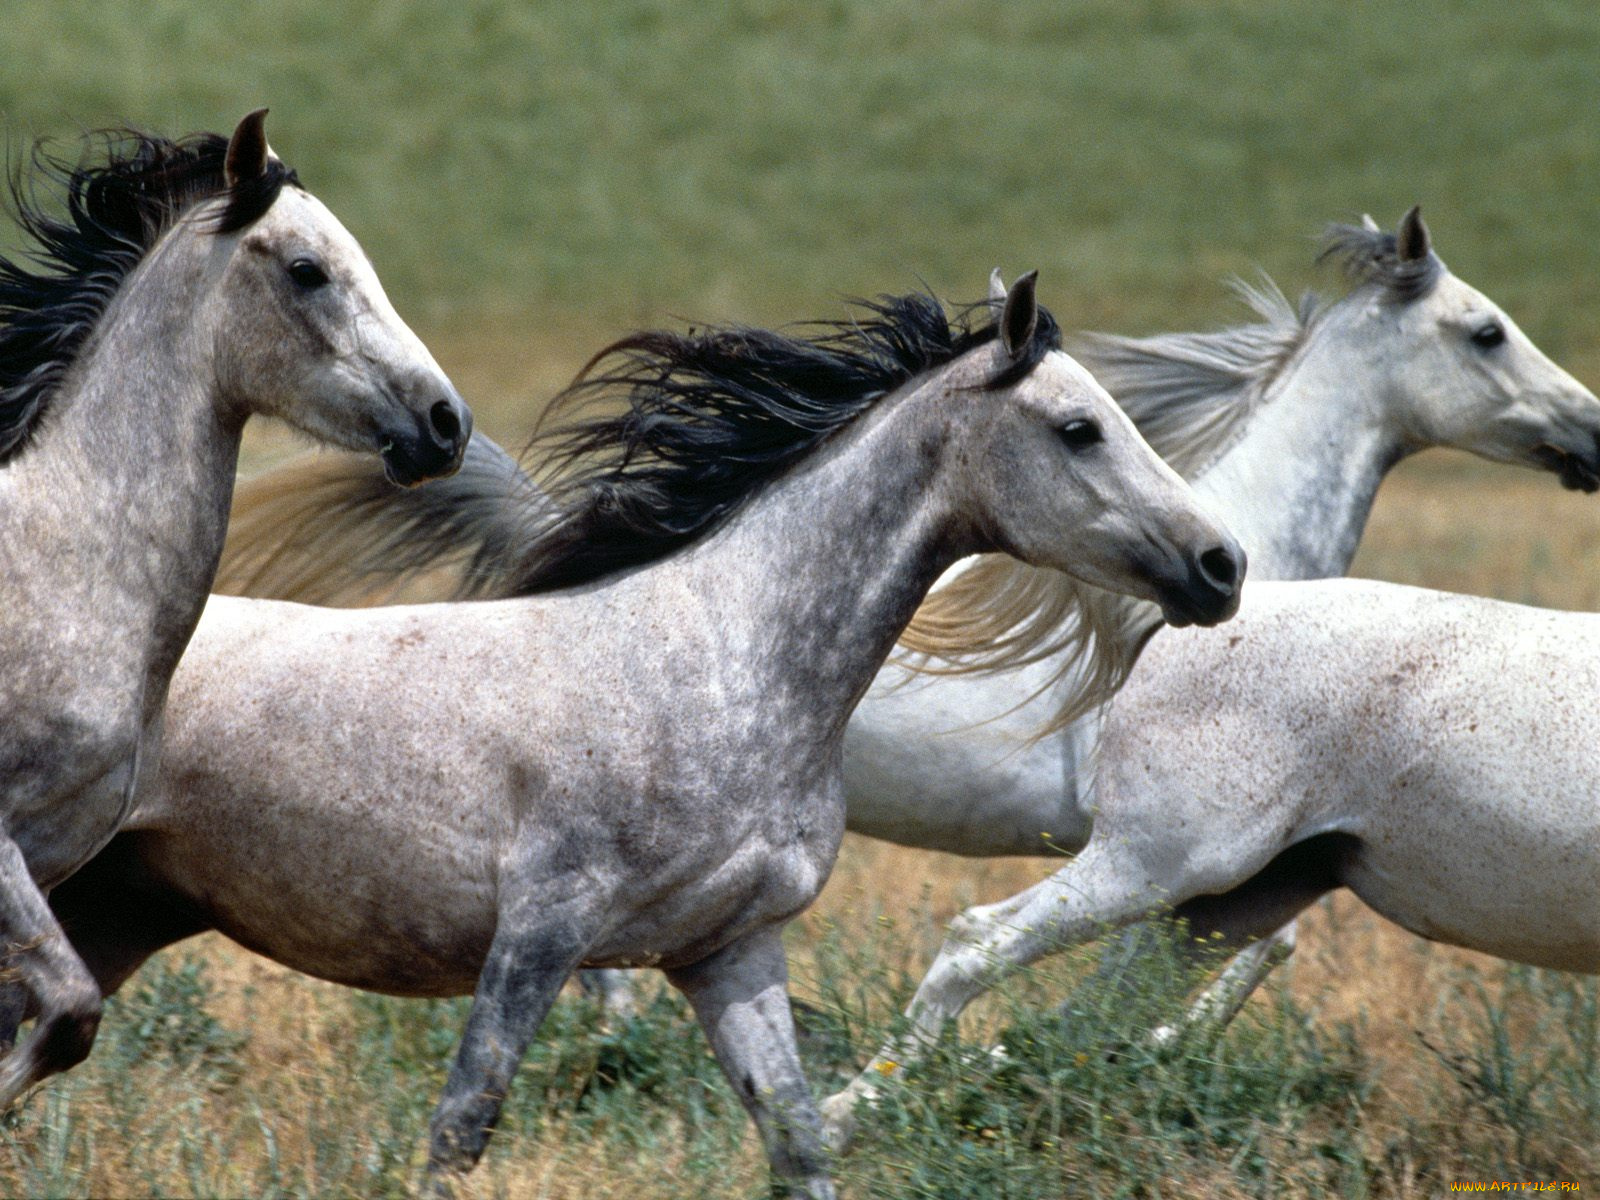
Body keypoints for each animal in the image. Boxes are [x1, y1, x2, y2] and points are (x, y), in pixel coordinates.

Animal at [13, 276, 1243, 1197]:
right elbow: (461, 1128)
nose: (1221, 566)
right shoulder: (540, 933)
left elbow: (799, 1142)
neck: (717, 663)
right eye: (1079, 428)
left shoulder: (729, 951)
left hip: (118, 913)